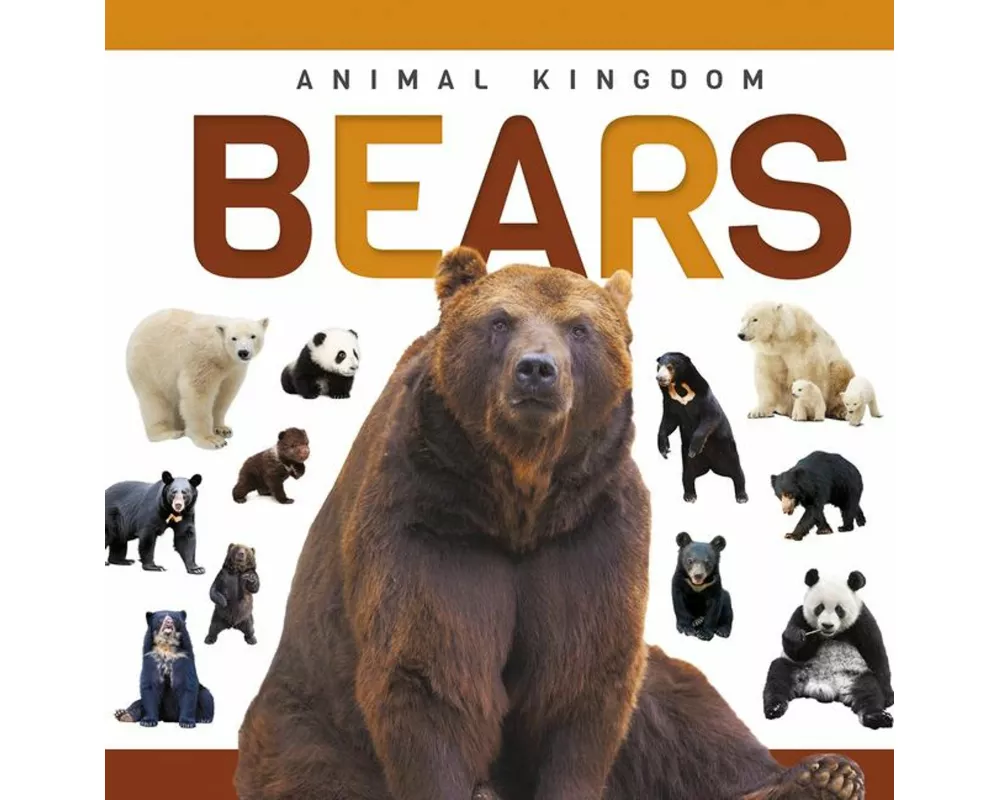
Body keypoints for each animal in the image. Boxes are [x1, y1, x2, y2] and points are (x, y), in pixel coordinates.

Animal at [126, 309, 268, 449]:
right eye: (233, 338)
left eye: (253, 336)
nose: (243, 352)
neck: (221, 353)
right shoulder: (203, 360)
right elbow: (197, 394)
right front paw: (212, 440)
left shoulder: (233, 369)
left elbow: (224, 394)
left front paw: (222, 429)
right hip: (148, 366)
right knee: (155, 401)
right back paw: (169, 432)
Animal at [656, 351, 747, 503]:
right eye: (659, 366)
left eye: (670, 367)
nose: (659, 378)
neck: (679, 386)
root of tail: (710, 465)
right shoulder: (670, 401)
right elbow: (668, 422)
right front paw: (664, 449)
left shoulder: (702, 395)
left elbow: (711, 416)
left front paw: (694, 448)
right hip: (687, 459)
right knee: (688, 474)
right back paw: (689, 496)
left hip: (727, 448)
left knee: (736, 470)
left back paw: (742, 496)